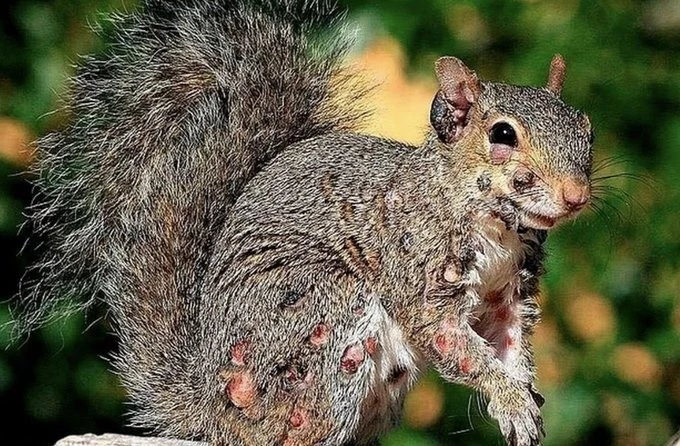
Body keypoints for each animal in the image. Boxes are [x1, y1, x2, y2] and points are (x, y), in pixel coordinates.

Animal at [15, 0, 595, 445]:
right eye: (502, 134)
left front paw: (523, 400)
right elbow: (456, 345)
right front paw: (510, 399)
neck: (496, 228)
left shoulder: (508, 295)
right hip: (323, 321)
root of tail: (214, 410)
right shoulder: (418, 271)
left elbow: (509, 346)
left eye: (586, 128)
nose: (576, 195)